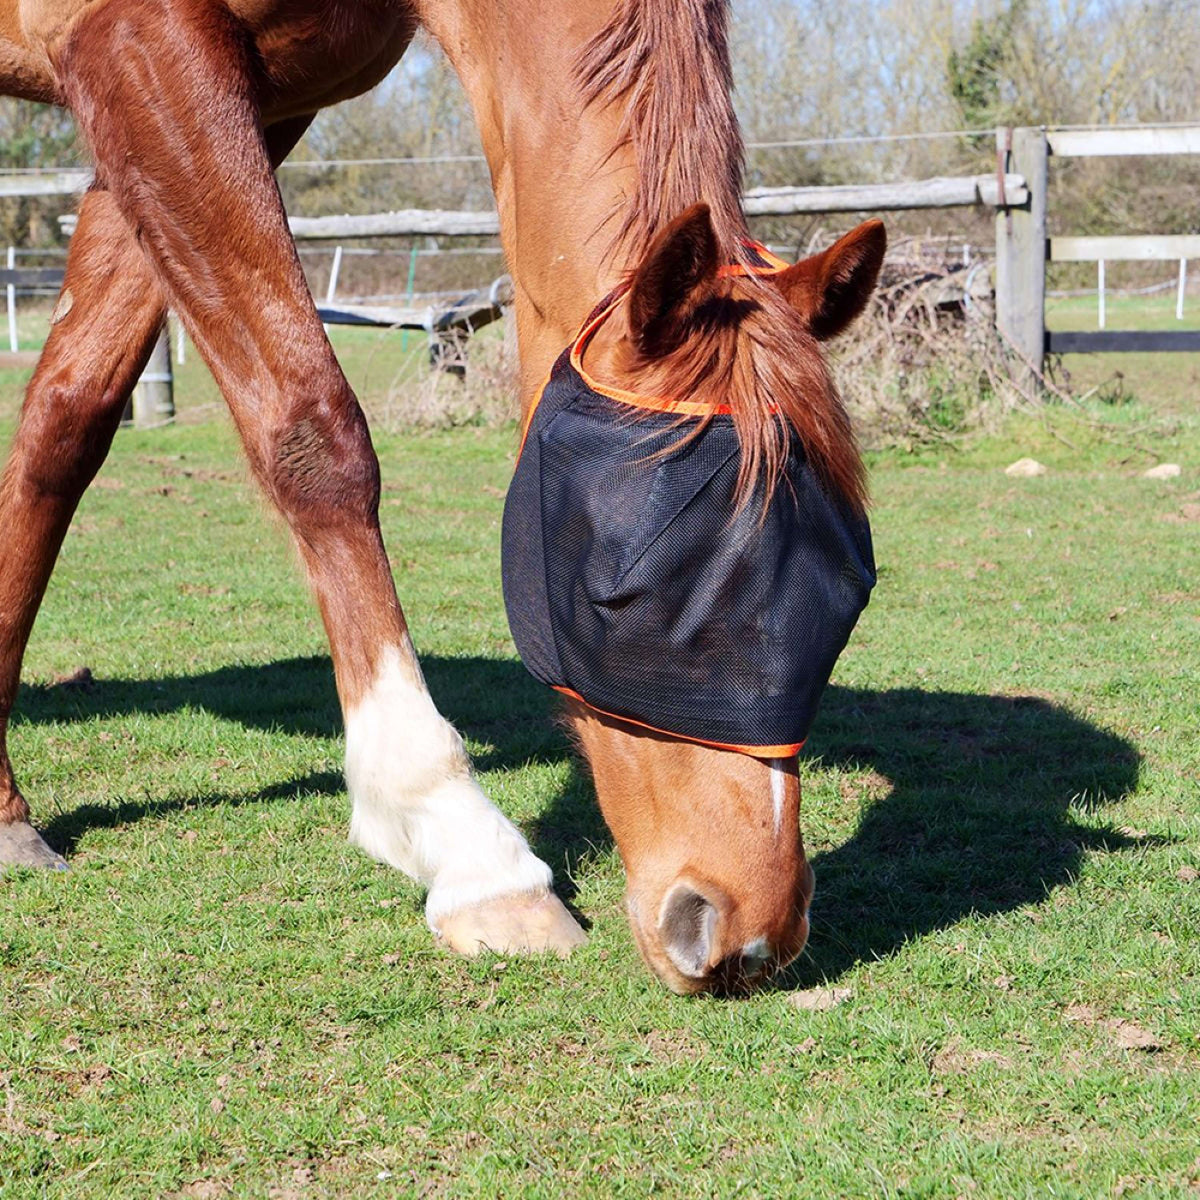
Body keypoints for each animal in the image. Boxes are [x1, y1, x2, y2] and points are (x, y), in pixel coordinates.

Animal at [0, 0, 883, 993]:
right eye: (626, 595)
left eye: (848, 597)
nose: (745, 937)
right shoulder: (137, 44)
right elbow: (314, 432)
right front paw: (469, 850)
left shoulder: (239, 97)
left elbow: (66, 419)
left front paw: (4, 812)